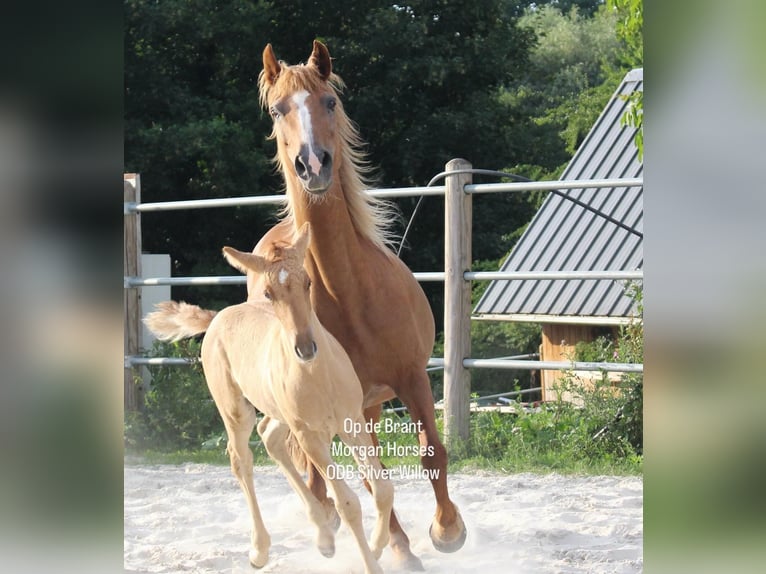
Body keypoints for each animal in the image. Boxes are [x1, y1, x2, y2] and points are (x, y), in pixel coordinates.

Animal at [144, 224, 394, 574]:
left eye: (308, 283)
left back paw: (323, 539)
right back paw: (260, 550)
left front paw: (376, 544)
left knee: (270, 437)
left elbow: (383, 488)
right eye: (269, 293)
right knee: (241, 459)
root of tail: (219, 317)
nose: (305, 348)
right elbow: (348, 503)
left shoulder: (352, 421)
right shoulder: (308, 435)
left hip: (278, 413)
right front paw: (371, 560)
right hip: (236, 410)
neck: (321, 376)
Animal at [252, 40, 466, 568]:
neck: (349, 295)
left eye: (329, 101)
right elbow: (368, 478)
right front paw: (405, 545)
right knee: (331, 472)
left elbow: (432, 451)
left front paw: (448, 530)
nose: (313, 164)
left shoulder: (412, 379)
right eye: (277, 109)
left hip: (367, 405)